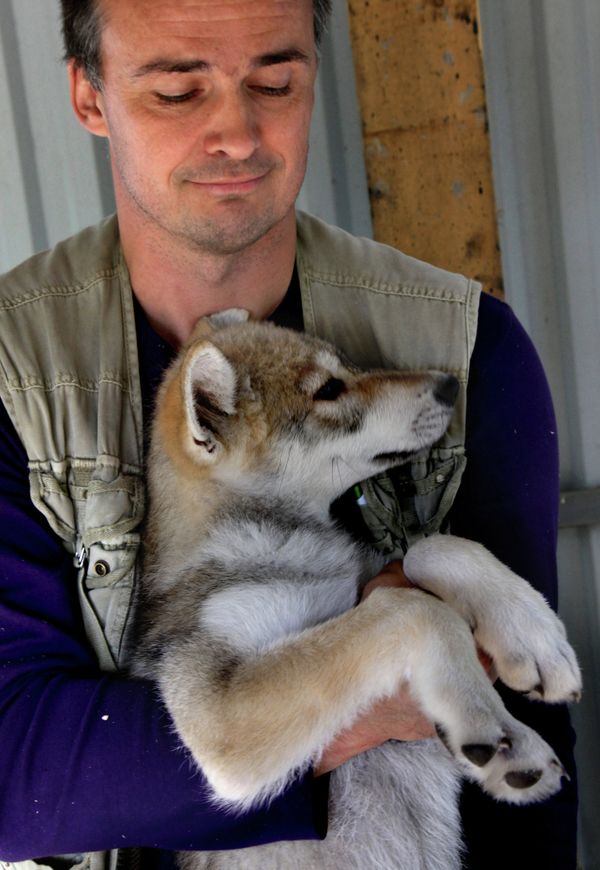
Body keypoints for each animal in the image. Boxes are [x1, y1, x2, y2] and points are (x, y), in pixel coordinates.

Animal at [132, 309, 581, 870]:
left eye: (347, 365)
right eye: (329, 389)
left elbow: (433, 548)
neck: (286, 547)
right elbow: (412, 609)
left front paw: (533, 634)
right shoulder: (217, 710)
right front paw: (496, 731)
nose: (450, 384)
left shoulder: (363, 582)